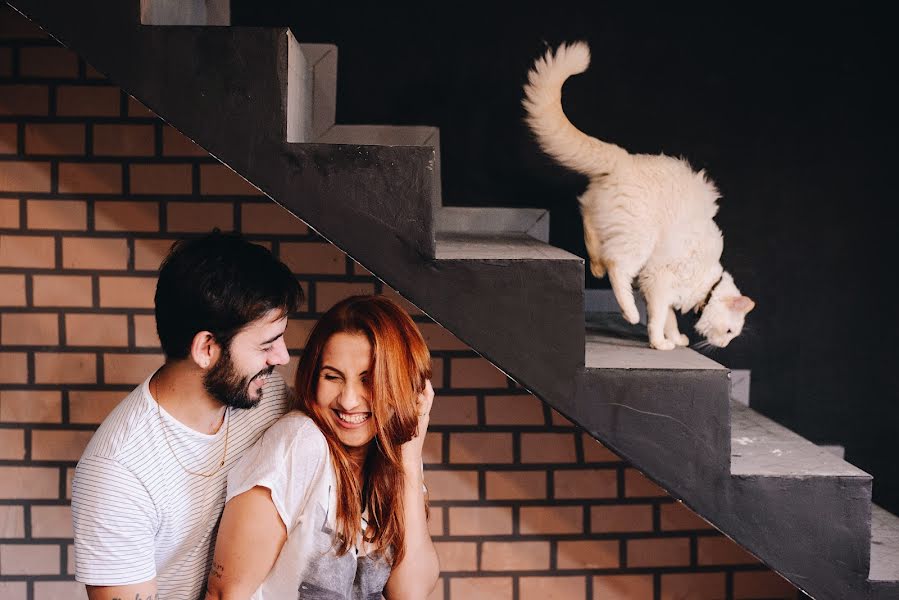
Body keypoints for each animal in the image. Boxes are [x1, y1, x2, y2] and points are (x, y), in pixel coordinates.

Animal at [524, 42, 756, 350]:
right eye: (730, 331)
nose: (724, 346)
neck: (706, 282)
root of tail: (625, 159)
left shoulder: (656, 286)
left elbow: (669, 319)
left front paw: (676, 339)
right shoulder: (659, 280)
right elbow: (658, 319)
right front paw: (660, 343)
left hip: (610, 220)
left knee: (589, 224)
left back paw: (595, 265)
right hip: (640, 240)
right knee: (618, 267)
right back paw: (629, 312)